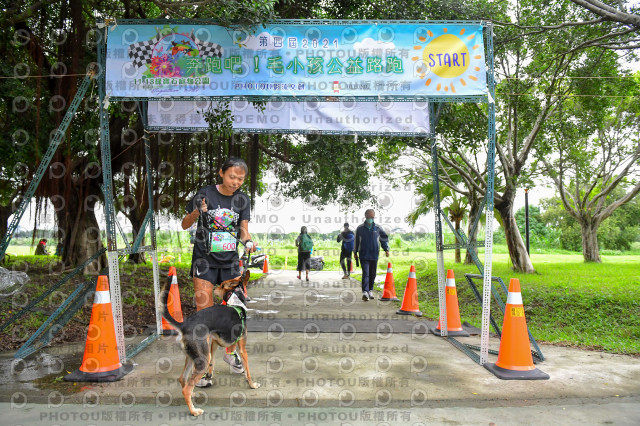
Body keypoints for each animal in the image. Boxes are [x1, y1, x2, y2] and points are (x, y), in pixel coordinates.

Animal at [161, 270, 260, 416]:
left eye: (222, 285)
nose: (215, 288)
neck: (235, 302)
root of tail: (184, 325)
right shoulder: (242, 347)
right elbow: (247, 371)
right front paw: (252, 385)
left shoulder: (213, 343)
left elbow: (214, 362)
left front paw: (210, 375)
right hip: (202, 359)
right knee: (186, 389)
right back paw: (194, 411)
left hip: (194, 357)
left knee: (183, 380)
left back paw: (193, 396)